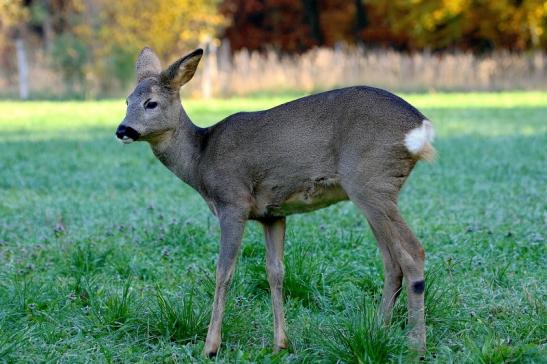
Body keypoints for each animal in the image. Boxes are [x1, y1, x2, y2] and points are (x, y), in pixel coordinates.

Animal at [115, 47, 436, 356]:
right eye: (127, 100)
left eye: (151, 103)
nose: (122, 130)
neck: (200, 160)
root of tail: (421, 128)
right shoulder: (272, 213)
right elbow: (275, 272)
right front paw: (281, 343)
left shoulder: (233, 201)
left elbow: (224, 271)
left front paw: (210, 346)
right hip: (374, 190)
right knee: (392, 261)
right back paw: (378, 331)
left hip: (371, 181)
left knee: (413, 252)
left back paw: (416, 346)